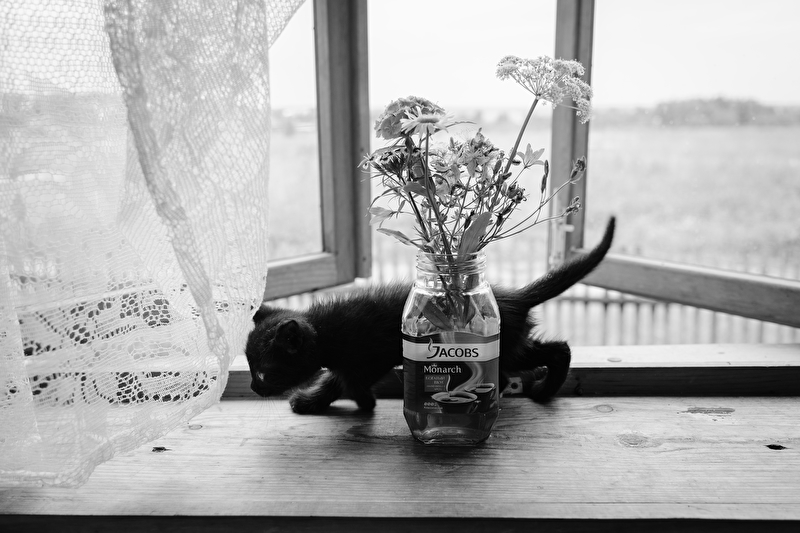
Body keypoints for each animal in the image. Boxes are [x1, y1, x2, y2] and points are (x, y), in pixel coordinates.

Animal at [246, 217, 615, 414]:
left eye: (264, 372)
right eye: (250, 369)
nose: (252, 387)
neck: (329, 332)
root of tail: (512, 297)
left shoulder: (372, 356)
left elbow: (345, 381)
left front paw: (342, 402)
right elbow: (339, 378)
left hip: (504, 347)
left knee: (556, 350)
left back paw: (537, 390)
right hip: (513, 346)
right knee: (555, 349)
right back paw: (541, 390)